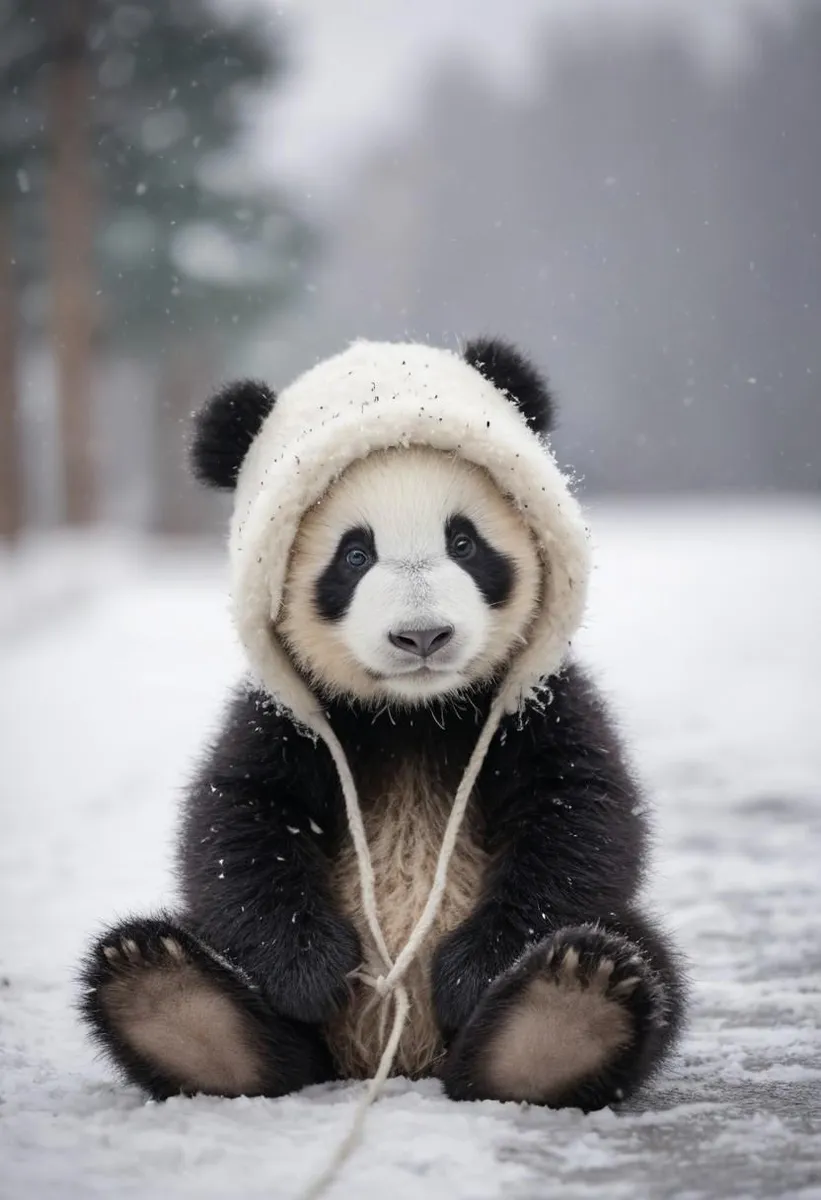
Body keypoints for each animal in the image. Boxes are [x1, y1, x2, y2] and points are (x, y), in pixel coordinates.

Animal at [80, 333, 686, 1108]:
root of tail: (397, 1063)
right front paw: (309, 968)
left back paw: (562, 1014)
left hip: (598, 958)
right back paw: (176, 1003)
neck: (413, 714)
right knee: (229, 994)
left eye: (464, 543)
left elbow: (577, 815)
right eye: (354, 555)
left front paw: (472, 973)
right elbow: (237, 820)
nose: (422, 636)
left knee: (638, 954)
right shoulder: (288, 715)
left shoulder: (535, 701)